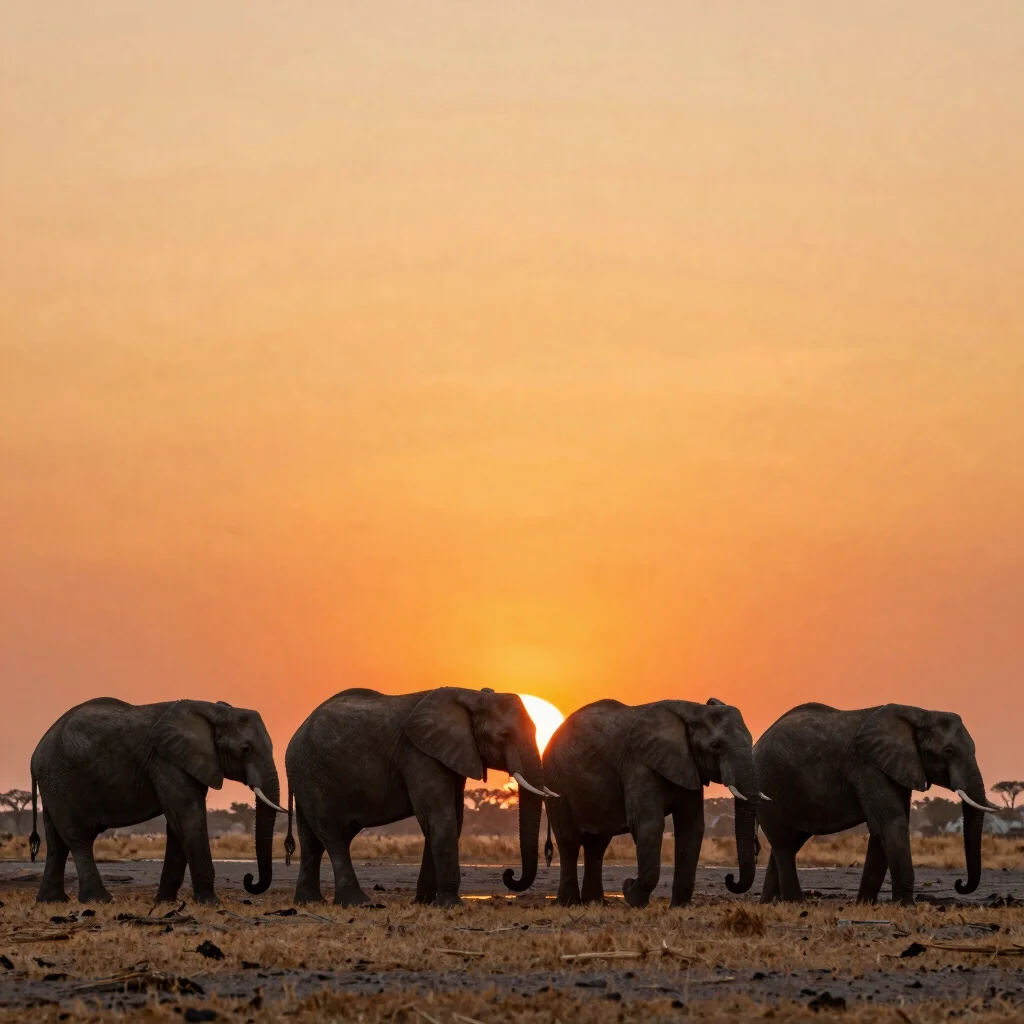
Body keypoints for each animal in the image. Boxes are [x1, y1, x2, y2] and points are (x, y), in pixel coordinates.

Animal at [29, 697, 284, 904]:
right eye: (246, 749)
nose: (249, 879)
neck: (213, 711)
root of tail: (35, 754)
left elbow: (178, 825)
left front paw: (164, 903)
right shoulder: (165, 760)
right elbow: (189, 817)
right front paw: (211, 903)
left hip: (53, 785)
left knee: (57, 843)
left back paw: (52, 901)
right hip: (61, 780)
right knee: (78, 838)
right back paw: (99, 900)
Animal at [284, 686, 550, 907]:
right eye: (505, 735)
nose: (509, 874)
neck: (471, 695)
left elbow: (451, 819)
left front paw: (424, 902)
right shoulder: (418, 754)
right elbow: (440, 817)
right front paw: (450, 905)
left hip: (305, 776)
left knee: (312, 840)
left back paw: (309, 902)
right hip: (313, 775)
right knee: (333, 834)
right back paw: (357, 902)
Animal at [542, 697, 763, 908]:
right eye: (716, 746)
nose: (730, 878)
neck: (693, 710)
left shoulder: (688, 767)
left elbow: (691, 827)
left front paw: (679, 907)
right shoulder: (639, 764)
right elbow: (649, 824)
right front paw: (632, 896)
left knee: (597, 843)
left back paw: (594, 903)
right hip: (556, 783)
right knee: (569, 840)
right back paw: (569, 903)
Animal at [755, 703, 997, 906]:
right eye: (948, 751)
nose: (959, 884)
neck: (918, 713)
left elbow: (882, 830)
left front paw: (864, 905)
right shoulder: (867, 767)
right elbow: (892, 824)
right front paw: (906, 907)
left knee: (791, 842)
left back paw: (769, 903)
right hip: (770, 787)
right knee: (784, 844)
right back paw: (796, 903)